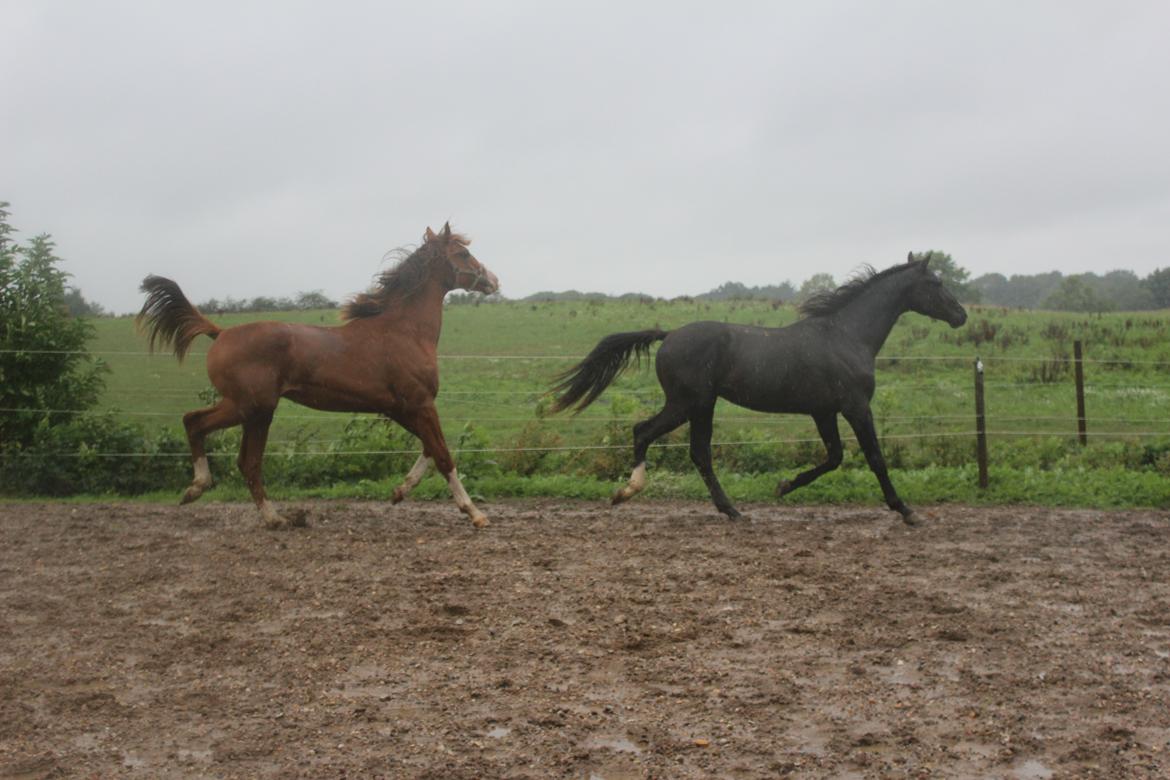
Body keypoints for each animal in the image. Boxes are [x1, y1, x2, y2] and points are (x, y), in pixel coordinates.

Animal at [139, 224, 500, 530]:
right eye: (463, 254)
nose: (494, 281)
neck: (404, 332)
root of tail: (221, 332)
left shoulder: (400, 408)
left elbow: (428, 448)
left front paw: (399, 492)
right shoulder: (420, 404)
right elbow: (443, 454)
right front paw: (474, 513)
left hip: (253, 411)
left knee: (237, 455)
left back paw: (256, 512)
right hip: (252, 408)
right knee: (206, 430)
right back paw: (217, 496)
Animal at [552, 256, 973, 523]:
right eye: (936, 283)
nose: (961, 315)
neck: (846, 336)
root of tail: (669, 335)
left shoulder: (824, 411)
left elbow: (834, 457)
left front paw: (784, 486)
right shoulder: (855, 407)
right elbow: (874, 457)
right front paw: (906, 511)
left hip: (701, 405)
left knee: (696, 451)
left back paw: (729, 510)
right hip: (689, 402)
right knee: (648, 433)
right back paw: (632, 492)